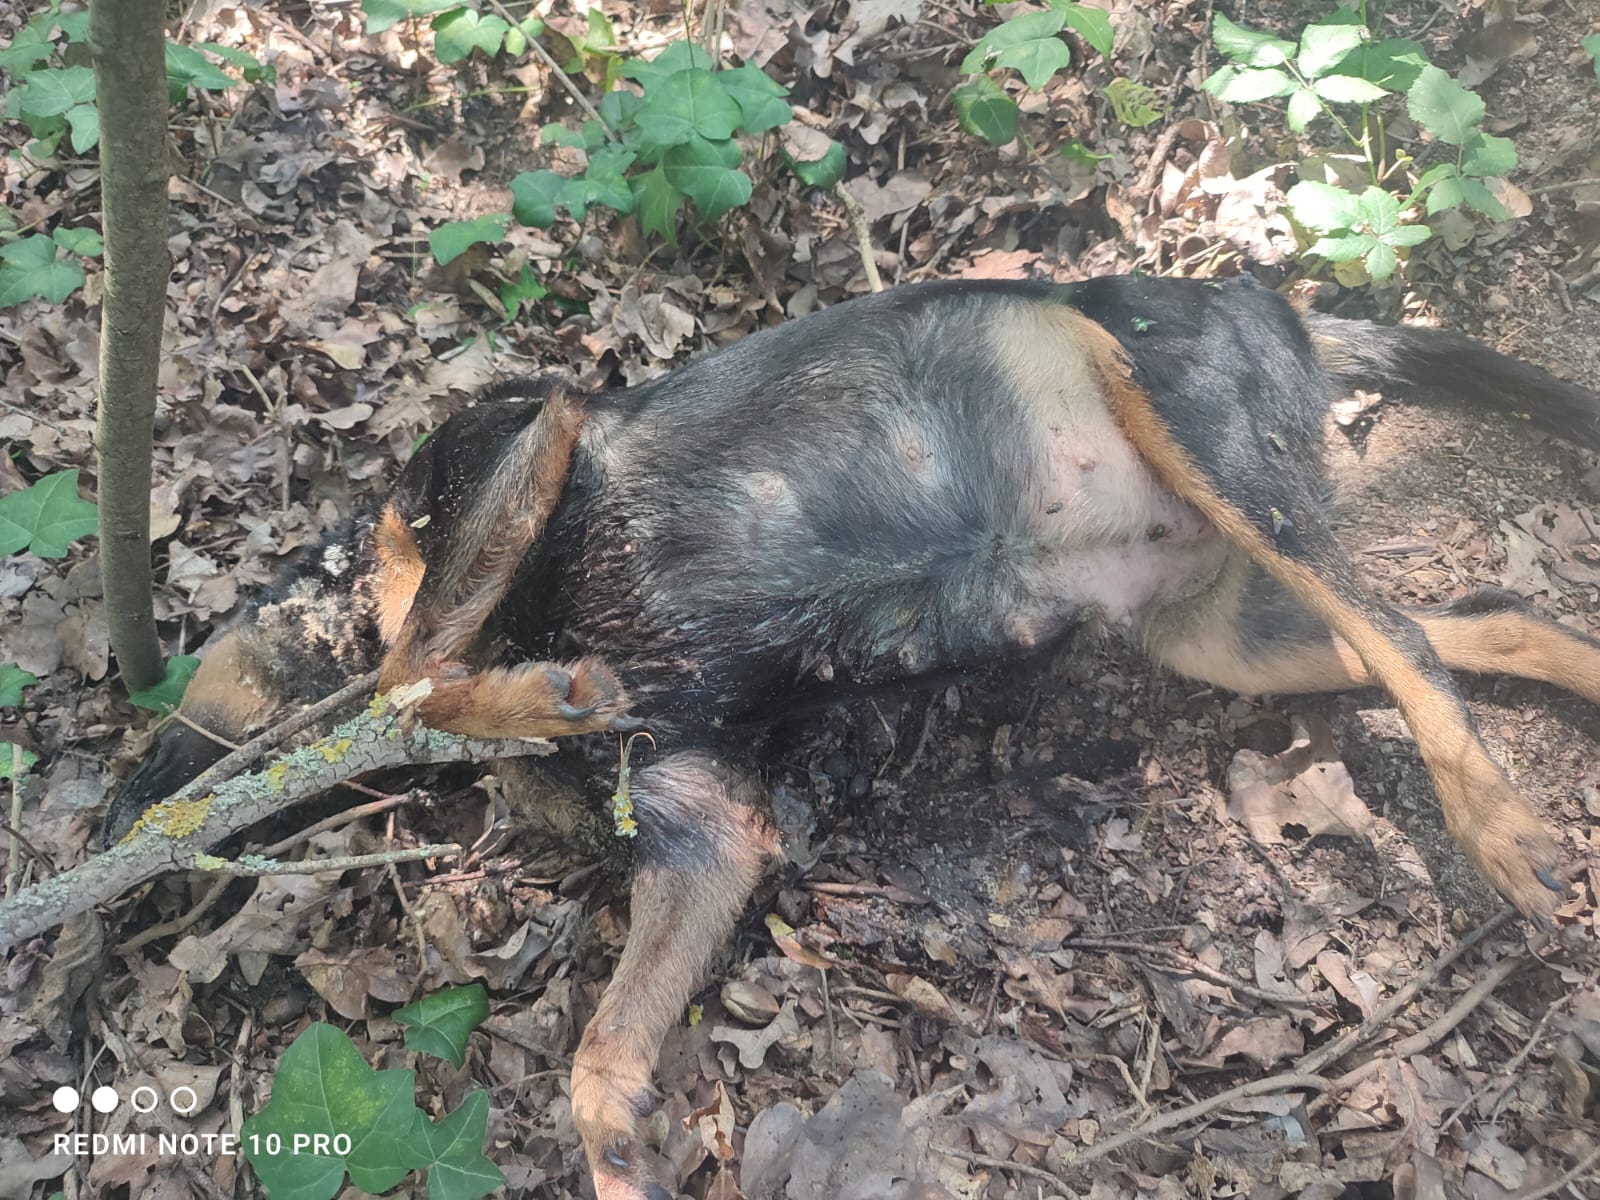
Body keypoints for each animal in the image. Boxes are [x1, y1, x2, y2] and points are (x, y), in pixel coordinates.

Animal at [109, 276, 1600, 1196]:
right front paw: (623, 1159)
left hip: (1205, 451)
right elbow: (600, 1064)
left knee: (1408, 644)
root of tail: (1272, 299)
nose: (118, 816)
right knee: (1487, 622)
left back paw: (1500, 834)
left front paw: (535, 688)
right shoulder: (710, 835)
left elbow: (415, 669)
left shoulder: (521, 440)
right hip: (1226, 630)